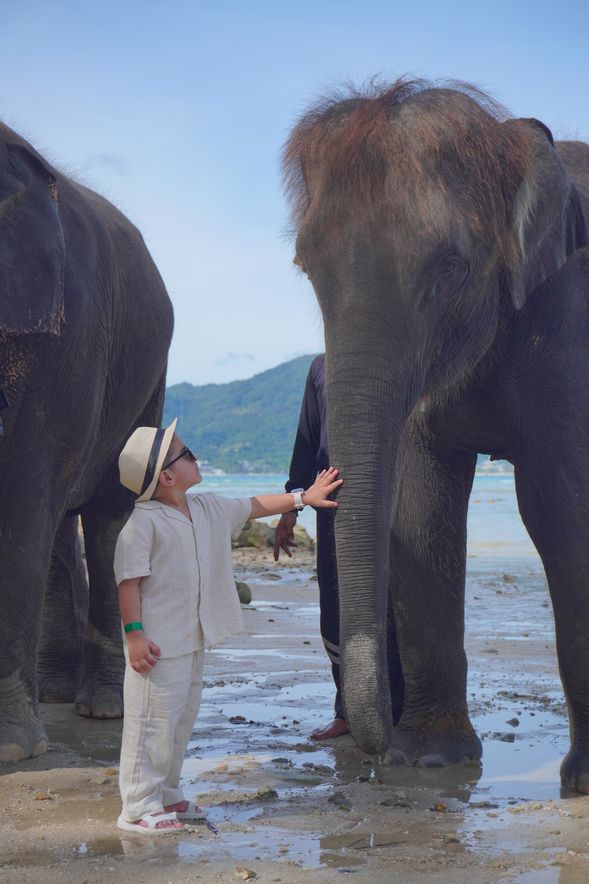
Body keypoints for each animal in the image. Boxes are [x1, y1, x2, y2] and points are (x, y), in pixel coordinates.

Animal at [0, 119, 173, 761]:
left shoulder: (64, 334)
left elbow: (22, 493)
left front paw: (13, 754)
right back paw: (52, 693)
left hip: (147, 381)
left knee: (105, 521)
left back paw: (101, 708)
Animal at [283, 79, 589, 793]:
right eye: (306, 267)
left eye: (451, 265)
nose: (368, 749)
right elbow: (420, 505)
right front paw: (424, 758)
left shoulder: (571, 324)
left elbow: (561, 504)